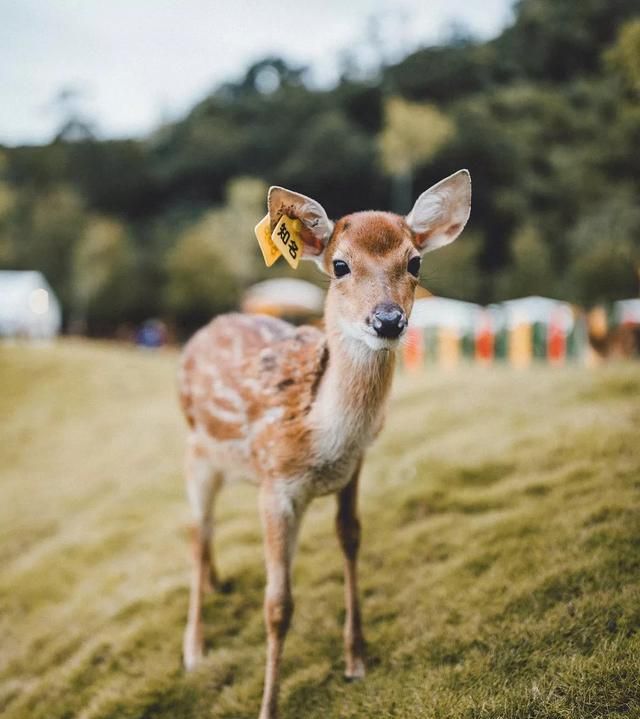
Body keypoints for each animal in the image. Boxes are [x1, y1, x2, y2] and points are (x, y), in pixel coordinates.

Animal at [178, 170, 472, 719]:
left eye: (414, 262)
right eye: (340, 265)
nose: (388, 320)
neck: (321, 440)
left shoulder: (354, 467)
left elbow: (351, 539)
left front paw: (356, 660)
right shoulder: (275, 486)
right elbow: (278, 605)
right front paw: (268, 706)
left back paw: (219, 584)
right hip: (196, 454)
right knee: (196, 530)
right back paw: (193, 649)